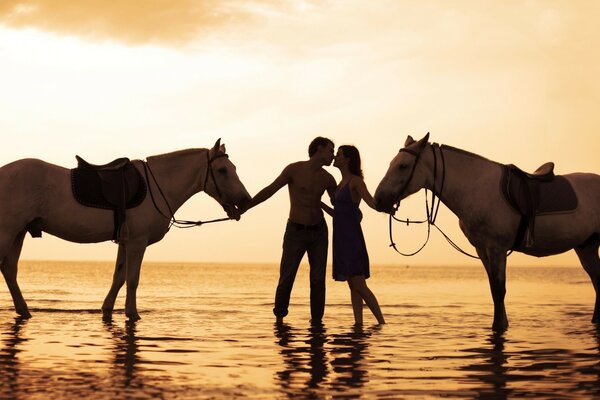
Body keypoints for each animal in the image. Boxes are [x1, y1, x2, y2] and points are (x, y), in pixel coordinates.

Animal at [0, 139, 250, 320]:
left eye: (234, 168)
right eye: (222, 170)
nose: (246, 200)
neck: (157, 186)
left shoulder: (125, 242)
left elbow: (118, 277)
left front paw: (107, 309)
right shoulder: (137, 242)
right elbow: (132, 279)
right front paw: (132, 313)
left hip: (19, 232)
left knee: (10, 270)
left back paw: (24, 310)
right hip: (8, 232)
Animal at [376, 134, 600, 332]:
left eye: (403, 166)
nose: (379, 199)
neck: (476, 188)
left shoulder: (496, 249)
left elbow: (499, 290)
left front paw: (499, 326)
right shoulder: (483, 250)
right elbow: (493, 289)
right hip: (586, 246)